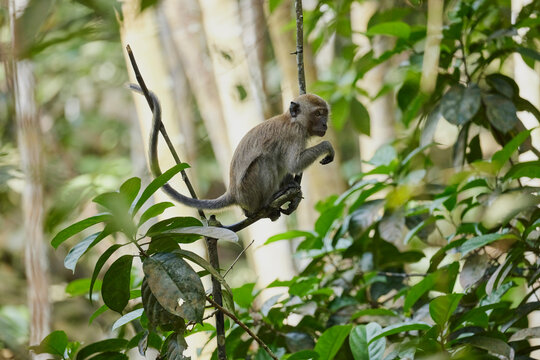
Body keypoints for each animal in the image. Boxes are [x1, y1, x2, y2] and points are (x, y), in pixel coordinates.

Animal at [131, 84, 334, 219]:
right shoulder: (294, 134)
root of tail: (233, 193)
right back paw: (265, 203)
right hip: (248, 192)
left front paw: (295, 194)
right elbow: (294, 164)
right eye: (318, 114)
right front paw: (327, 147)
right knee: (265, 160)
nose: (325, 124)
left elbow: (288, 167)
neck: (293, 120)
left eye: (325, 114)